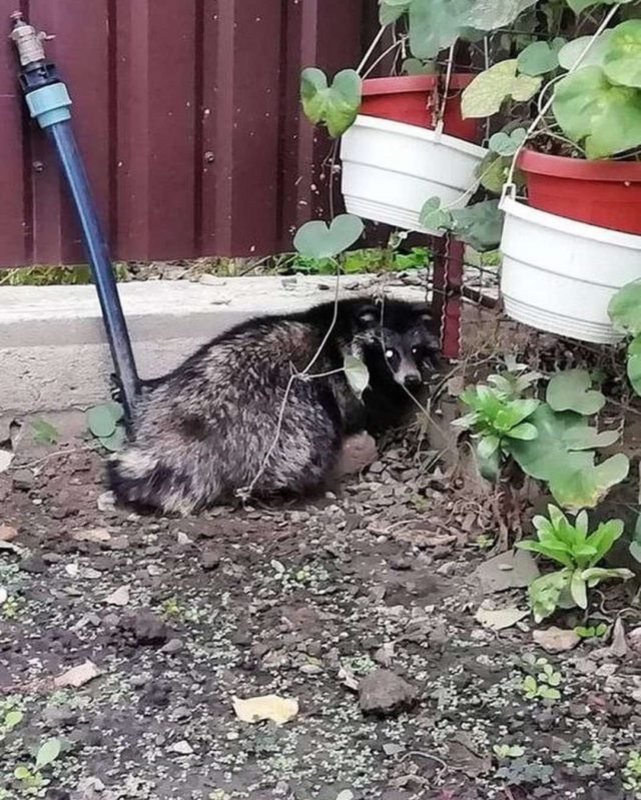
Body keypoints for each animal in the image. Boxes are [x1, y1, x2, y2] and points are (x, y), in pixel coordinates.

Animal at [110, 296, 440, 516]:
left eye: (414, 349)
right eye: (389, 353)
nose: (411, 379)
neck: (344, 326)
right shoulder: (346, 377)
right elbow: (362, 408)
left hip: (159, 396)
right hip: (284, 425)